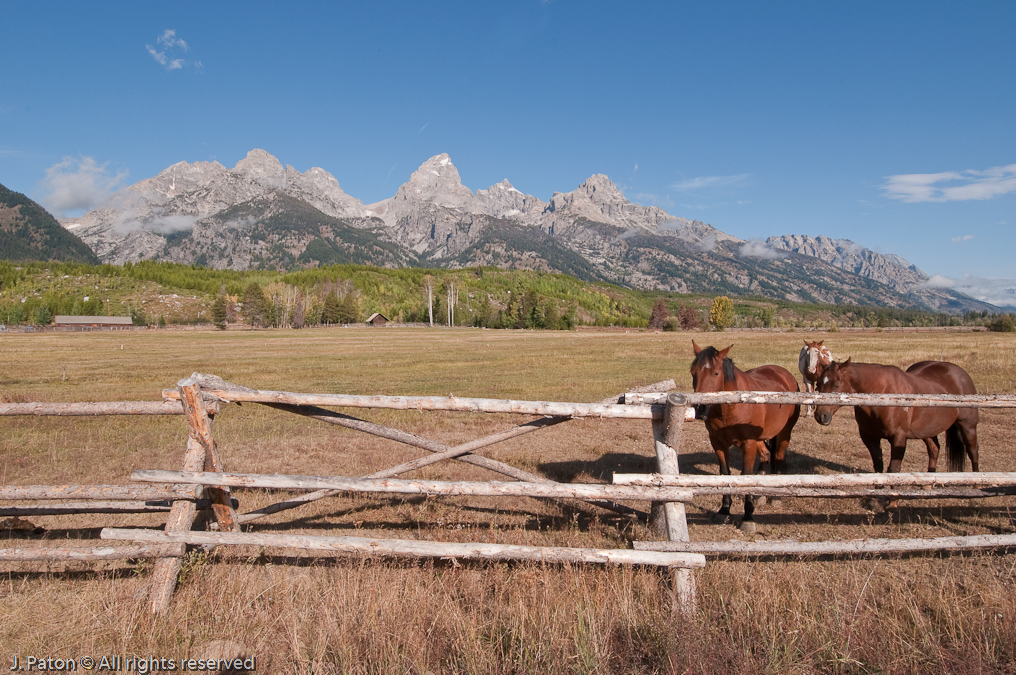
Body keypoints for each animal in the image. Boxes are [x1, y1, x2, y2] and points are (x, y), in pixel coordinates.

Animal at [690, 341, 801, 532]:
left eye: (716, 373)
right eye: (693, 372)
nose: (700, 407)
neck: (730, 407)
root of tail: (785, 375)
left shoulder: (748, 444)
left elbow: (745, 475)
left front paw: (748, 517)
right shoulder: (718, 443)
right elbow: (725, 473)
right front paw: (724, 510)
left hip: (784, 433)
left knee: (778, 456)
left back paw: (775, 497)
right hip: (760, 438)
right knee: (765, 455)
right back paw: (760, 495)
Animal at [813, 358, 979, 474]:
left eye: (836, 386)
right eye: (818, 385)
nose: (821, 415)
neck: (881, 394)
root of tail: (962, 374)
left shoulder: (899, 437)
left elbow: (893, 469)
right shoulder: (869, 437)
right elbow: (878, 466)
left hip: (967, 426)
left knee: (973, 452)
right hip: (927, 430)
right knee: (934, 450)